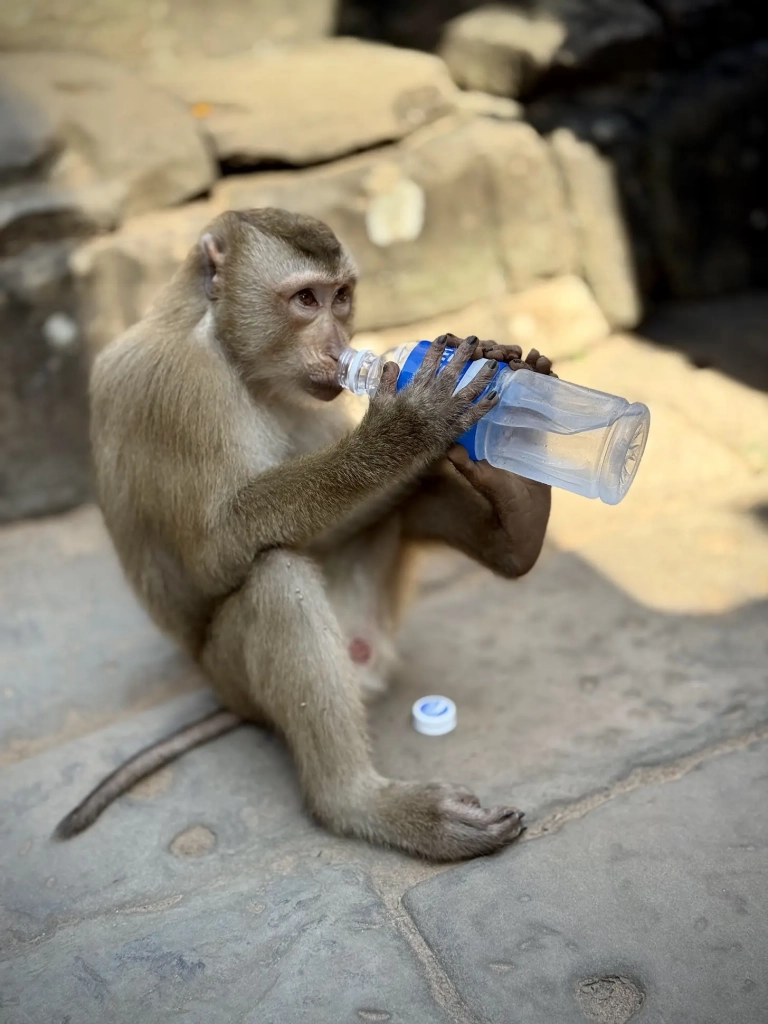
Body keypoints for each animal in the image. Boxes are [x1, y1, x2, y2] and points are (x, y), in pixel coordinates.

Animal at [57, 209, 557, 864]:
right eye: (304, 300)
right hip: (238, 676)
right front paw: (404, 429)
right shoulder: (183, 391)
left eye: (341, 297)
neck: (228, 349)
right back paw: (361, 803)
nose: (339, 345)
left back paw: (520, 521)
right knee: (276, 577)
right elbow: (213, 553)